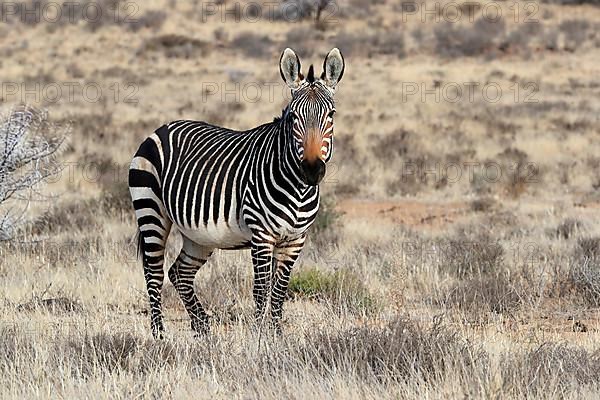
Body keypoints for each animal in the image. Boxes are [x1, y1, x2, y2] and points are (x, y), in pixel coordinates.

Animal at [130, 47, 346, 338]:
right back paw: (160, 335)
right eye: (293, 117)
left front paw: (277, 335)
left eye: (331, 114)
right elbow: (261, 291)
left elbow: (280, 291)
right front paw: (259, 337)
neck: (298, 188)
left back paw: (202, 327)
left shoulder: (295, 240)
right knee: (154, 273)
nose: (312, 170)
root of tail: (161, 128)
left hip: (198, 235)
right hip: (151, 211)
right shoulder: (262, 236)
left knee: (179, 272)